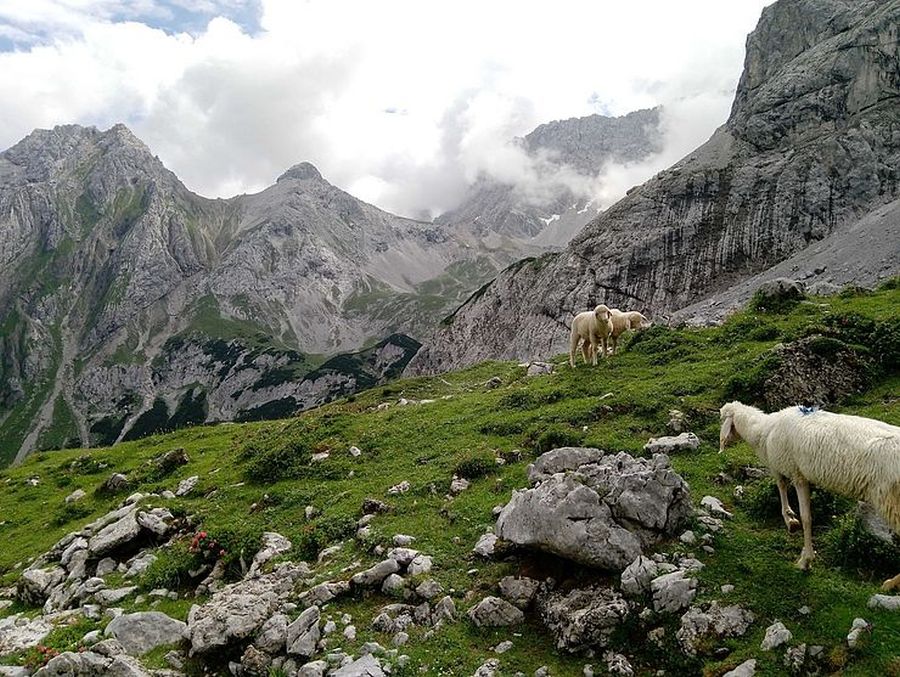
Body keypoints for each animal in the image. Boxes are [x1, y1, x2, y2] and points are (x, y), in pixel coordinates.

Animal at [716, 398, 900, 588]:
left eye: (722, 419)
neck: (764, 428)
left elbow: (801, 511)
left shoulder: (794, 472)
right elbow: (784, 488)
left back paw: (890, 583)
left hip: (891, 501)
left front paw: (804, 555)